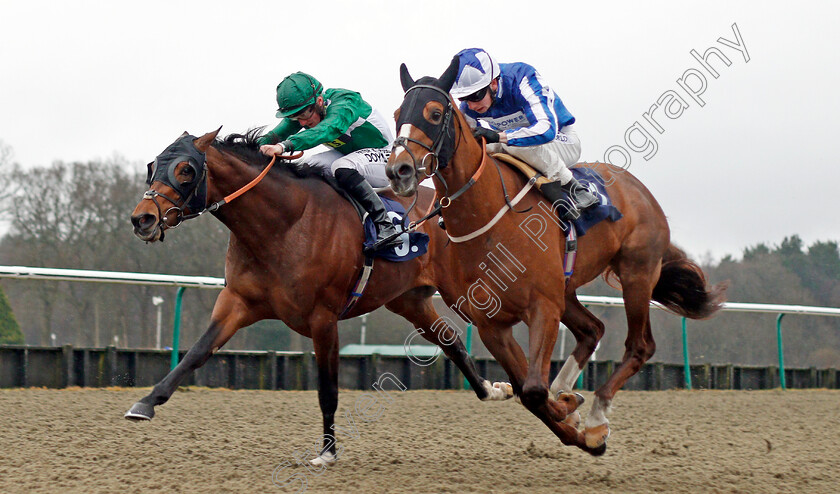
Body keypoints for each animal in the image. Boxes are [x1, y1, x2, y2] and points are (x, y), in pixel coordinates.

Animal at [125, 128, 512, 466]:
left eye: (185, 170)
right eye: (152, 166)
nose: (142, 219)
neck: (285, 224)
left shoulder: (323, 318)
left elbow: (328, 390)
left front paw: (327, 452)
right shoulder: (236, 303)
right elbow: (195, 354)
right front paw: (145, 403)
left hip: (465, 288)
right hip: (409, 301)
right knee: (450, 340)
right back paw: (492, 390)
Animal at [388, 59, 728, 458]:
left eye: (435, 113)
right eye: (397, 114)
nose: (398, 170)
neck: (490, 219)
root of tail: (639, 189)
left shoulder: (542, 307)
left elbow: (534, 390)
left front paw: (577, 415)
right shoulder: (492, 324)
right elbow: (527, 392)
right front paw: (569, 414)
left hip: (637, 273)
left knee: (639, 345)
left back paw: (596, 414)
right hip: (567, 289)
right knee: (592, 330)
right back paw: (569, 394)